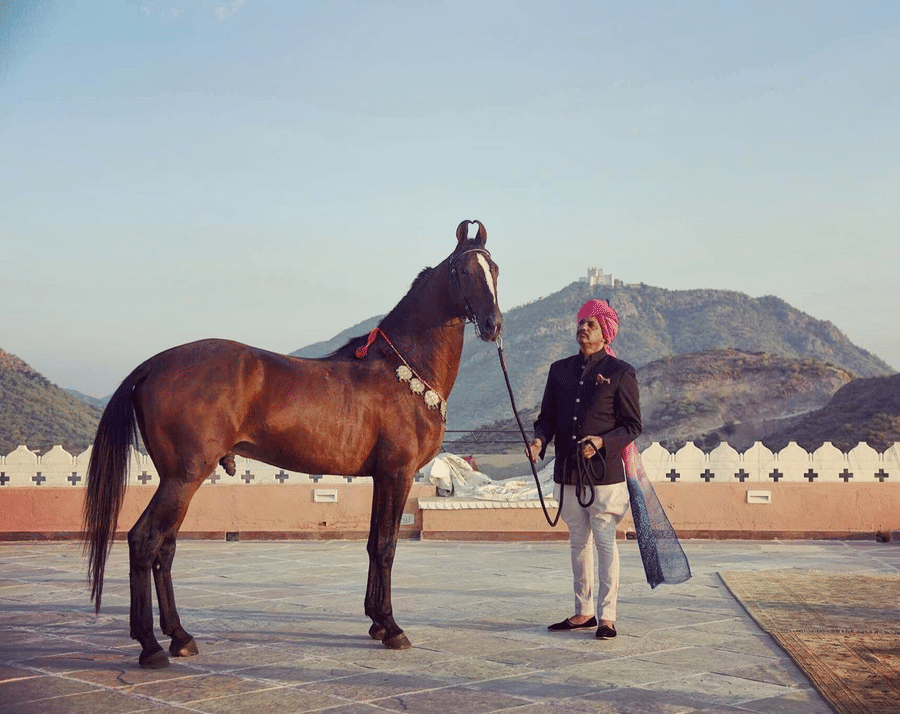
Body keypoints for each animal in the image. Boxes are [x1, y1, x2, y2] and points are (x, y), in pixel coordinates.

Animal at [82, 220, 502, 669]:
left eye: (494, 269)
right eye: (463, 271)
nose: (493, 324)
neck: (400, 371)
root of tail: (152, 365)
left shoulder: (380, 477)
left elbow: (374, 544)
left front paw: (375, 622)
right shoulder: (397, 474)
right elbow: (387, 546)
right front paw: (391, 628)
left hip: (177, 480)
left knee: (166, 548)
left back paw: (179, 636)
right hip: (182, 478)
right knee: (145, 541)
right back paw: (150, 645)